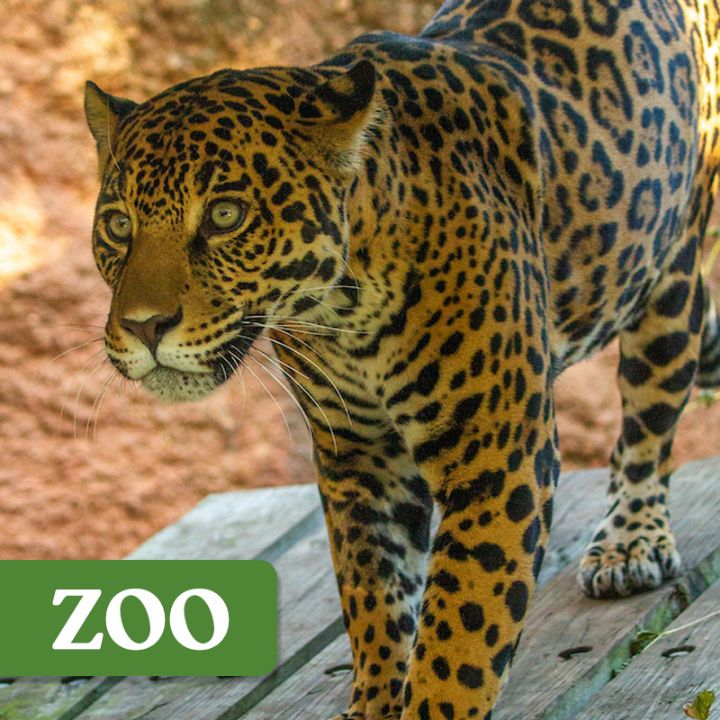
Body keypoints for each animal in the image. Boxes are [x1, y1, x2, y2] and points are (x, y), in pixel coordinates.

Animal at [83, 0, 720, 717]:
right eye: (118, 225)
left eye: (224, 216)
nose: (144, 326)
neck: (341, 310)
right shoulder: (360, 457)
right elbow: (373, 596)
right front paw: (375, 700)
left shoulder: (496, 453)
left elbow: (461, 629)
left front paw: (434, 699)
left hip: (669, 283)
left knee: (650, 422)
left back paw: (629, 542)